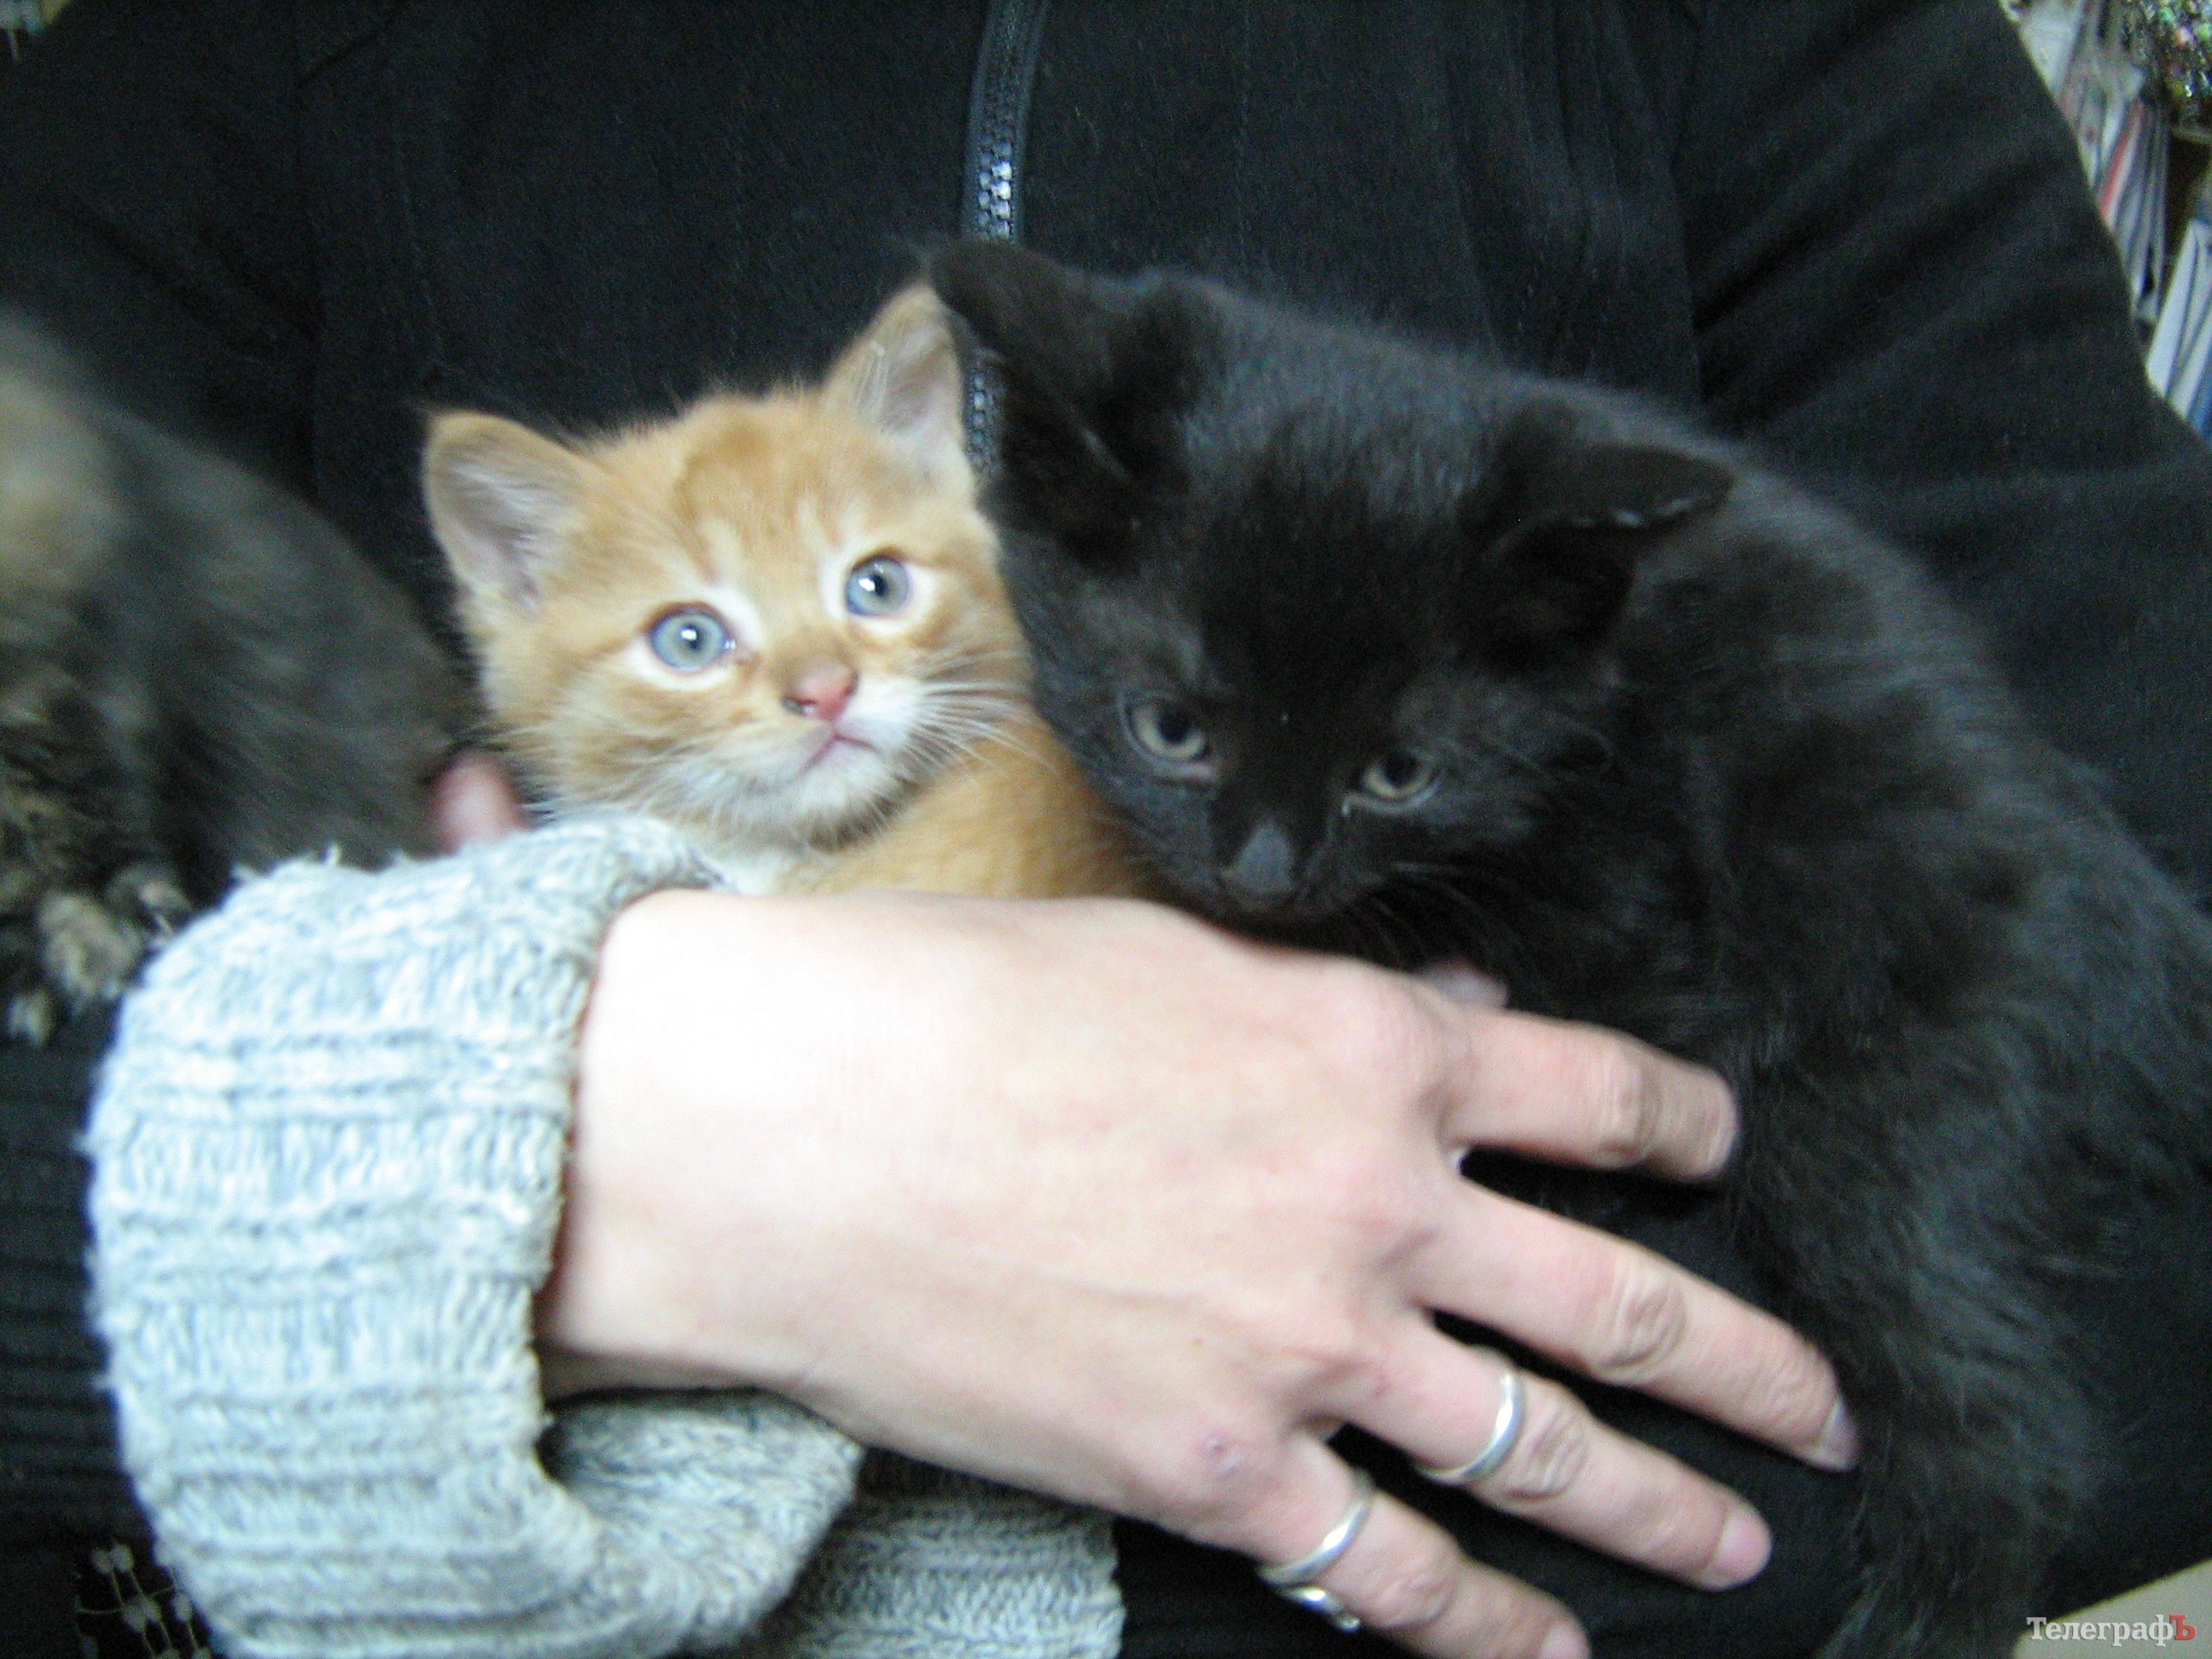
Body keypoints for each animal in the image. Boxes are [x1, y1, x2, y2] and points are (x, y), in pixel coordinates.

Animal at [927, 240, 2212, 1658]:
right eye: (1169, 730)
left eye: (1398, 774)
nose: (1262, 873)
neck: (1584, 709)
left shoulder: (1637, 924)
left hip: (1898, 1072)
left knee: (1992, 1416)